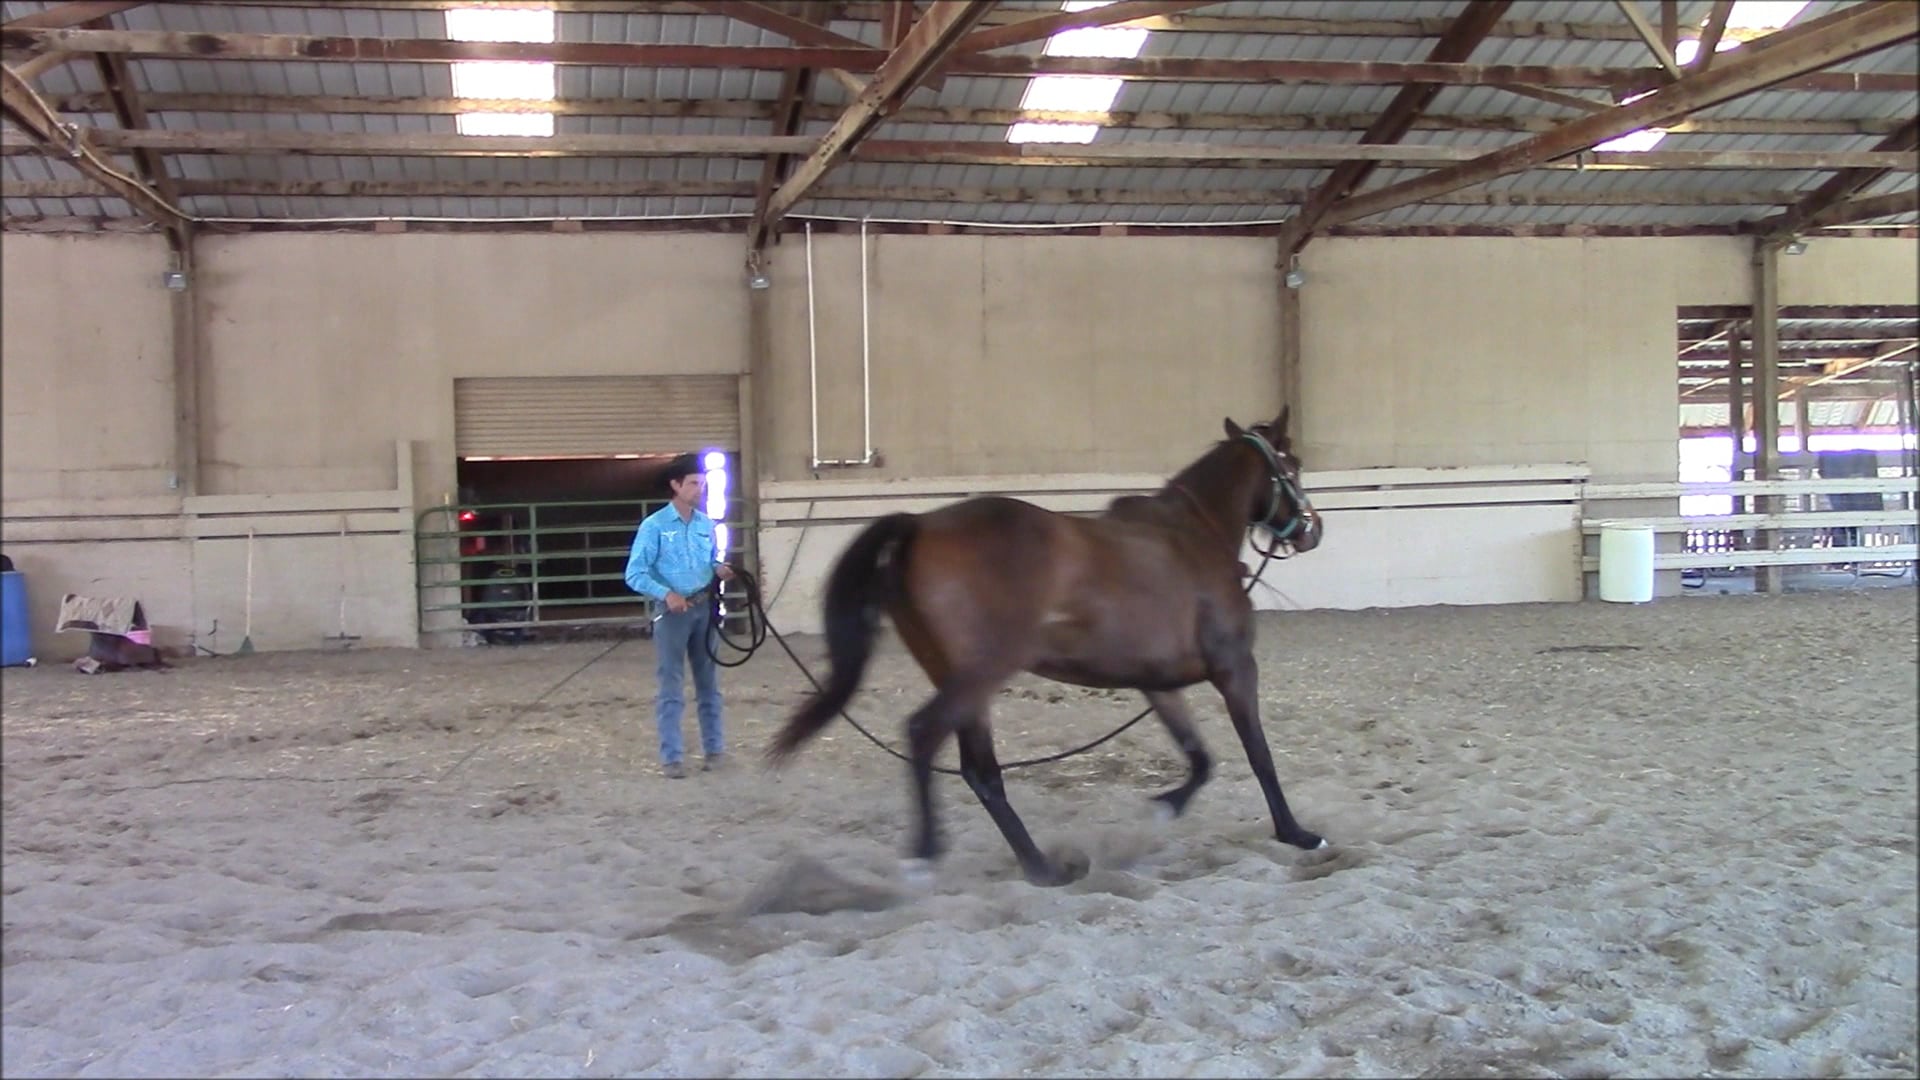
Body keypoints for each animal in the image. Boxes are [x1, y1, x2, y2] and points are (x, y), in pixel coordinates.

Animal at [765, 406, 1327, 886]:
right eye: (1293, 467)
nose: (1313, 531)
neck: (1193, 535)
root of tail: (919, 525)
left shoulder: (1158, 683)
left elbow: (1200, 758)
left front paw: (1161, 807)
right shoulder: (1235, 668)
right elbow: (1258, 755)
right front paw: (1296, 834)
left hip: (959, 680)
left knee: (981, 772)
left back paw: (1040, 866)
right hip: (982, 673)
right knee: (926, 734)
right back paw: (926, 855)